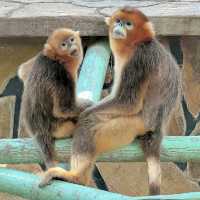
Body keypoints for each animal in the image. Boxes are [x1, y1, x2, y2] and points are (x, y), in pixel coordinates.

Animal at [19, 28, 91, 169]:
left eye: (71, 39)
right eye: (63, 45)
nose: (71, 45)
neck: (57, 60)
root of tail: (38, 132)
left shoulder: (38, 59)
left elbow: (22, 71)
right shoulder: (60, 74)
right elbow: (63, 109)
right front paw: (91, 104)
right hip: (59, 128)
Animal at [39, 7, 181, 195]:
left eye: (128, 23)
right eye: (118, 21)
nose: (119, 26)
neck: (137, 44)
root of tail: (158, 127)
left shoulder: (139, 59)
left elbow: (128, 102)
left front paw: (84, 112)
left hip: (132, 125)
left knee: (89, 124)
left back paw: (76, 177)